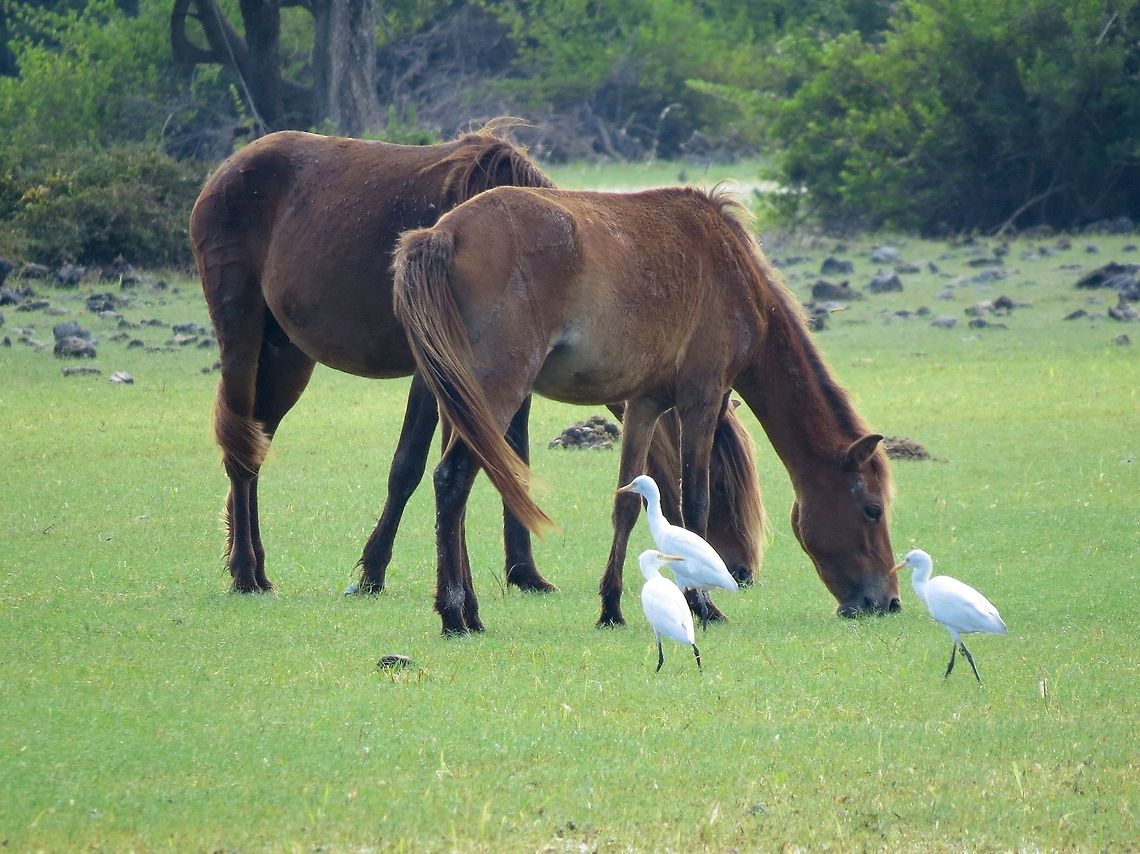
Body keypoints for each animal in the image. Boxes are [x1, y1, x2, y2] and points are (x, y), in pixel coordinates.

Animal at [189, 128, 765, 601]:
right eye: (721, 485)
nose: (740, 571)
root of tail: (225, 171)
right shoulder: (439, 376)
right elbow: (411, 466)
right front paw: (373, 572)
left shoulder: (510, 376)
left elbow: (509, 460)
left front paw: (523, 573)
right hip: (242, 336)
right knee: (240, 444)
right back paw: (246, 573)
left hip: (287, 356)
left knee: (254, 441)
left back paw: (252, 563)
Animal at [393, 185, 900, 633]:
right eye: (872, 509)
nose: (889, 601)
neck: (732, 269)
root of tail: (443, 234)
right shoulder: (702, 399)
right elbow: (694, 502)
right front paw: (703, 606)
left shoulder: (645, 404)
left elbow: (628, 503)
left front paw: (612, 607)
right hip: (498, 391)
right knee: (452, 480)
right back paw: (455, 615)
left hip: (461, 404)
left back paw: (470, 611)